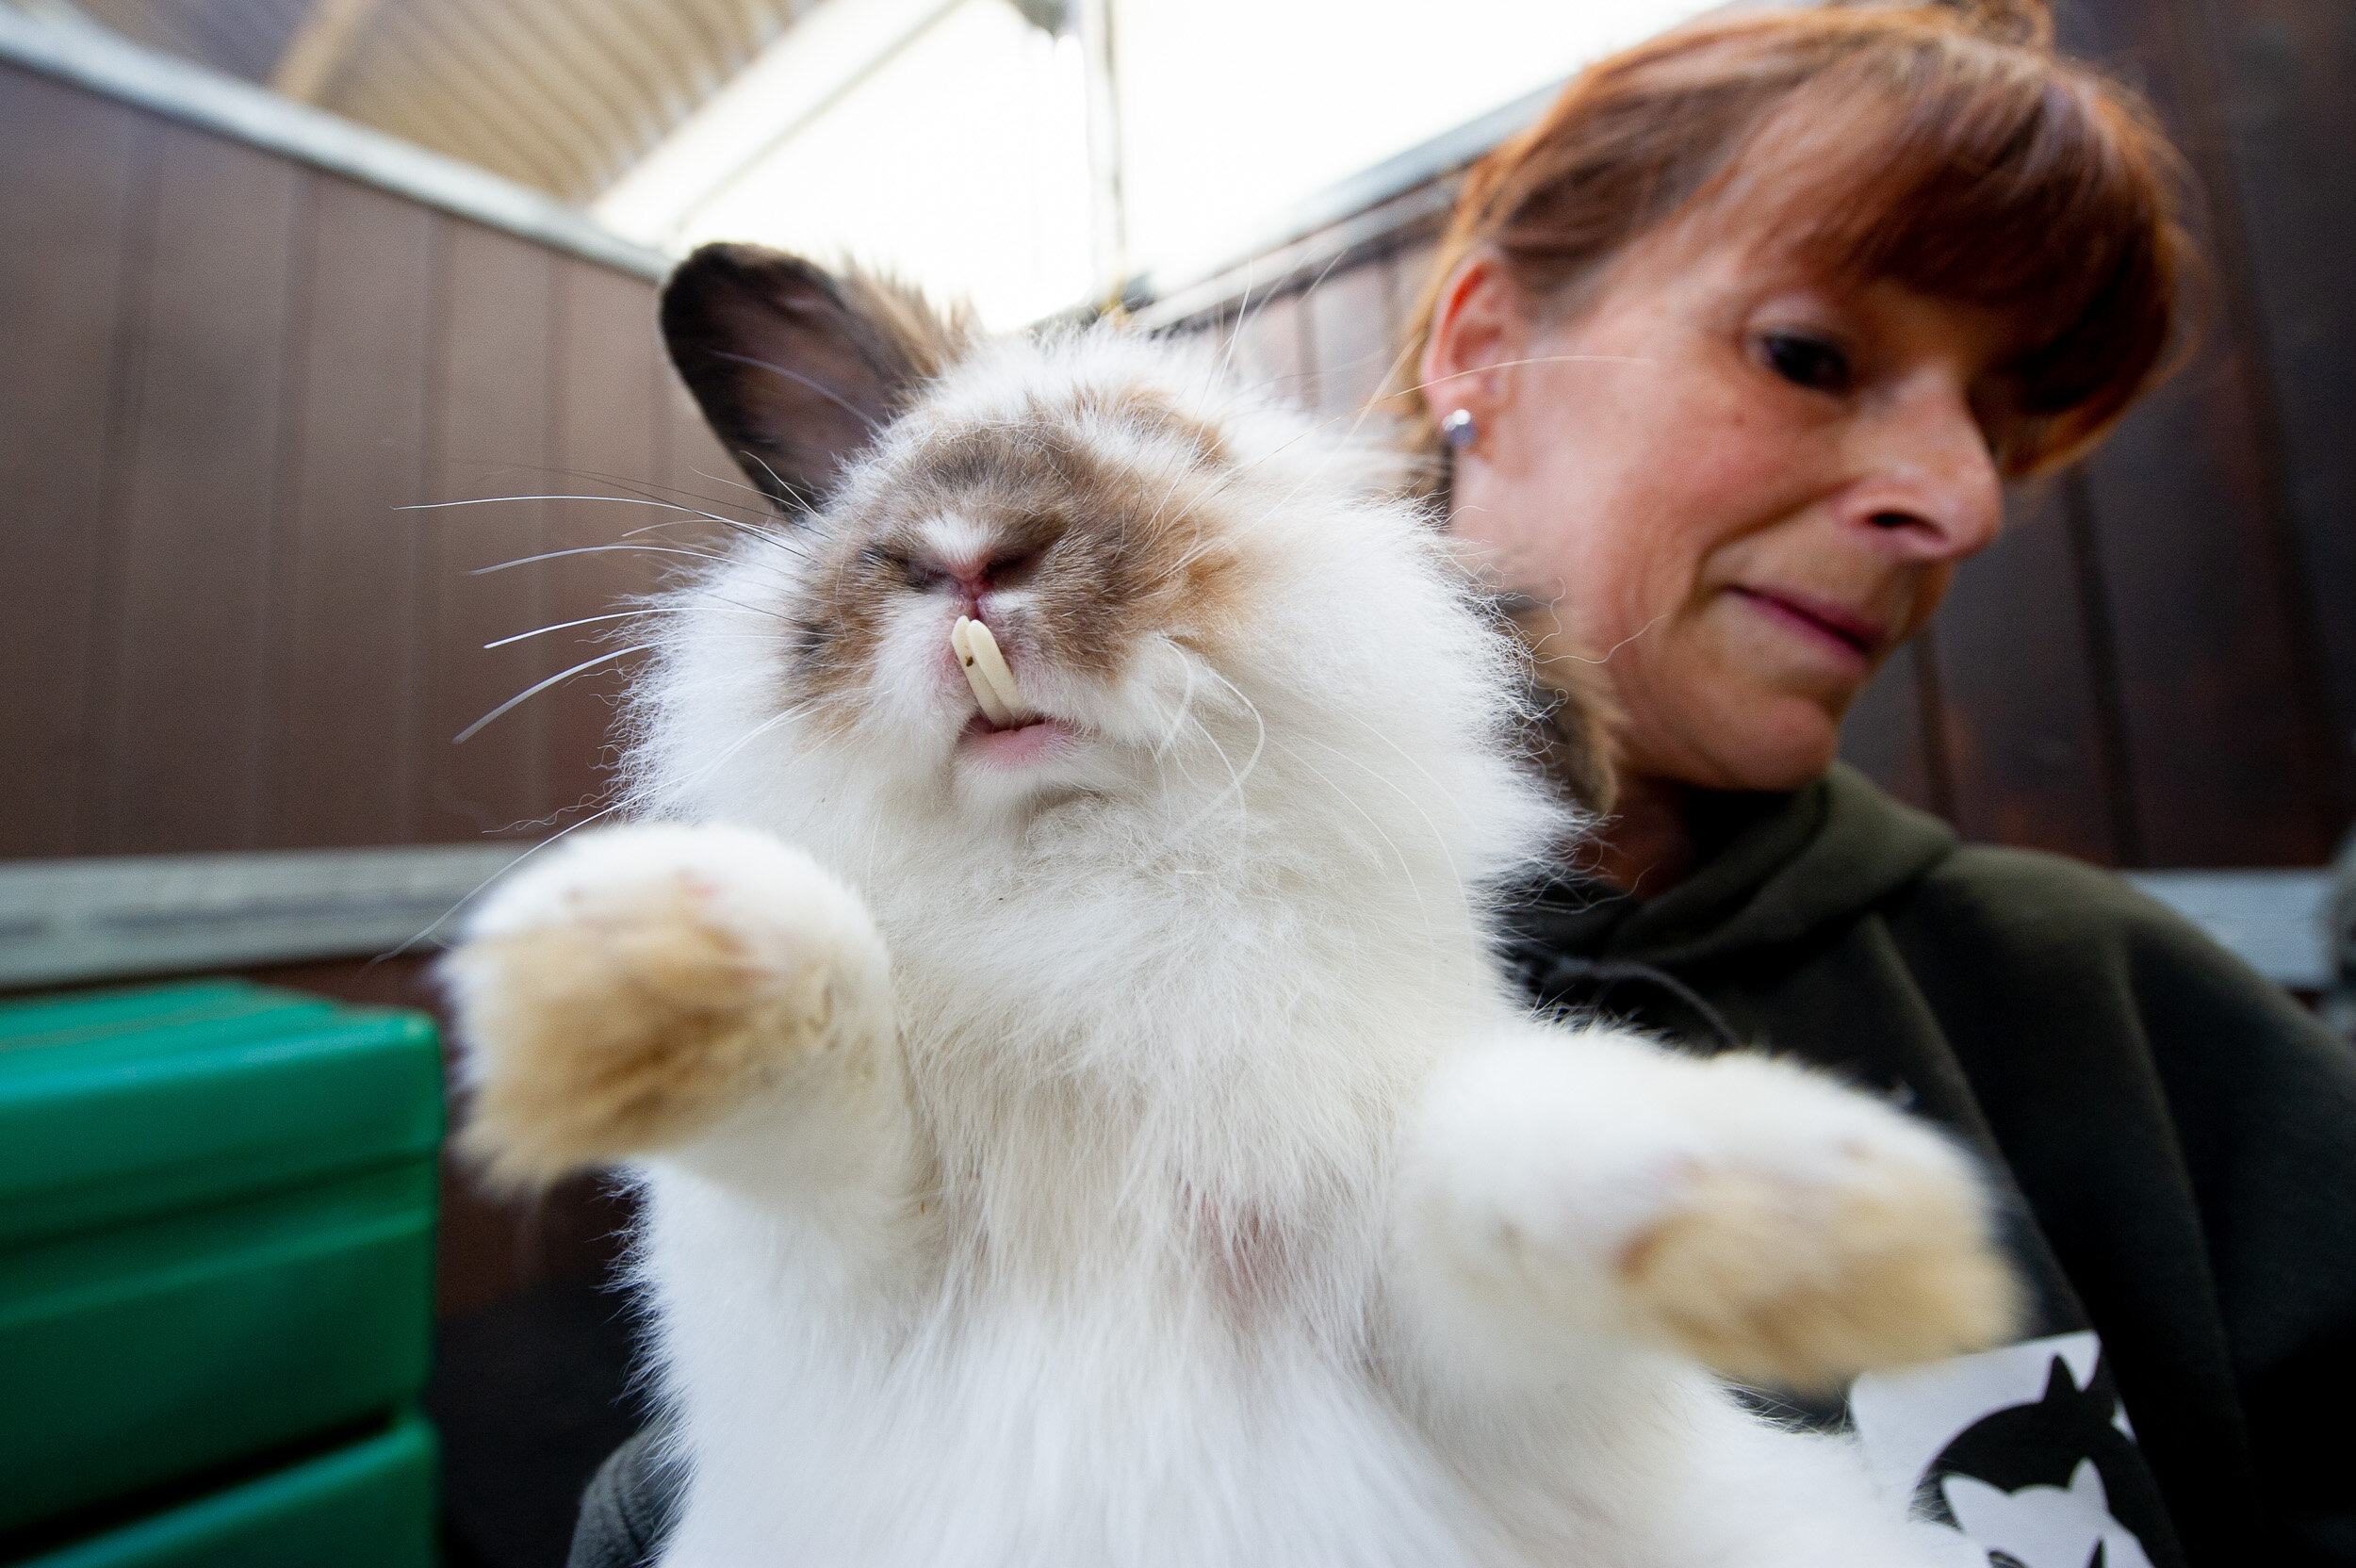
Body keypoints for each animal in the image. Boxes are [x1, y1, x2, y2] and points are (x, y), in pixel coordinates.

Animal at [443, 243, 2014, 1568]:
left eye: (1177, 449)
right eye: (878, 474)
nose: (960, 544)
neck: (1085, 874)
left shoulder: (1461, 1355)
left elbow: (1500, 1175)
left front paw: (1833, 1213)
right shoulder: (806, 1293)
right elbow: (819, 1098)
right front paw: (641, 946)